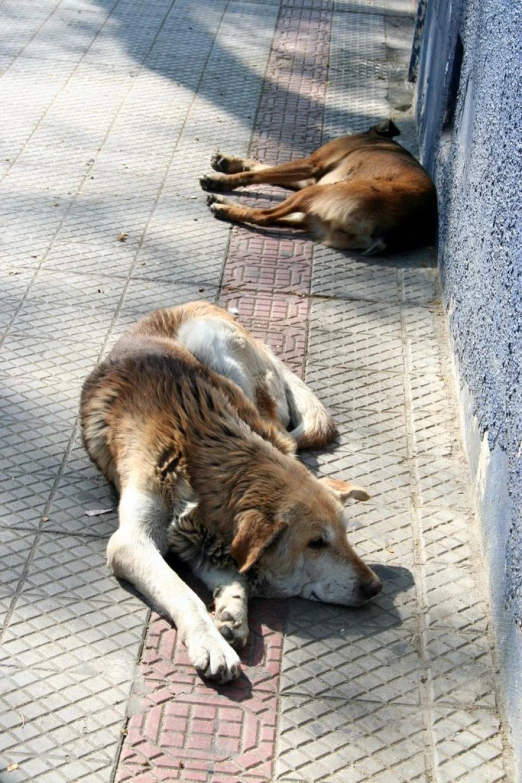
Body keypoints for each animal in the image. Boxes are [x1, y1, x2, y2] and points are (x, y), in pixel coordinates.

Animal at [82, 304, 382, 684]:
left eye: (345, 536)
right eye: (315, 543)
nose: (375, 587)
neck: (203, 457)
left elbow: (236, 575)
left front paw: (233, 609)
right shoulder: (133, 542)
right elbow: (184, 594)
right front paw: (212, 639)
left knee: (277, 424)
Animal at [199, 120, 434, 254]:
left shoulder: (311, 165)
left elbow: (257, 173)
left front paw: (221, 179)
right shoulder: (311, 177)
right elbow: (262, 166)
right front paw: (227, 163)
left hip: (318, 192)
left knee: (264, 216)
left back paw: (225, 208)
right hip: (317, 208)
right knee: (279, 216)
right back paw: (222, 202)